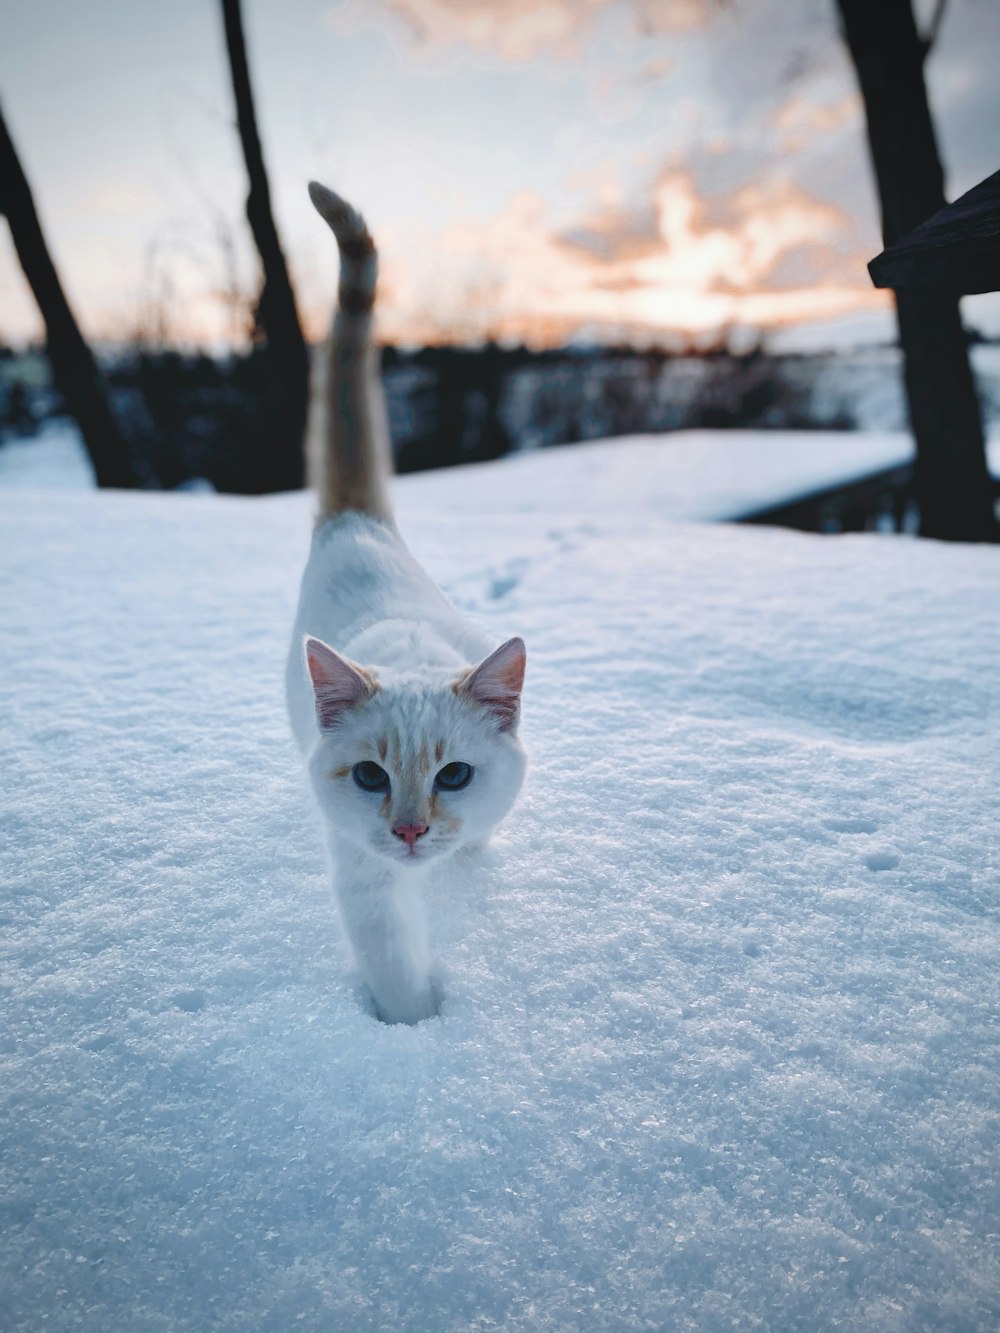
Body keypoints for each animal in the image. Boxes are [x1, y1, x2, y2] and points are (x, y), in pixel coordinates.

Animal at [288, 182, 528, 1023]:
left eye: (454, 776)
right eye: (369, 777)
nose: (413, 831)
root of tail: (356, 523)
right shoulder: (364, 875)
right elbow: (392, 964)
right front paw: (416, 1029)